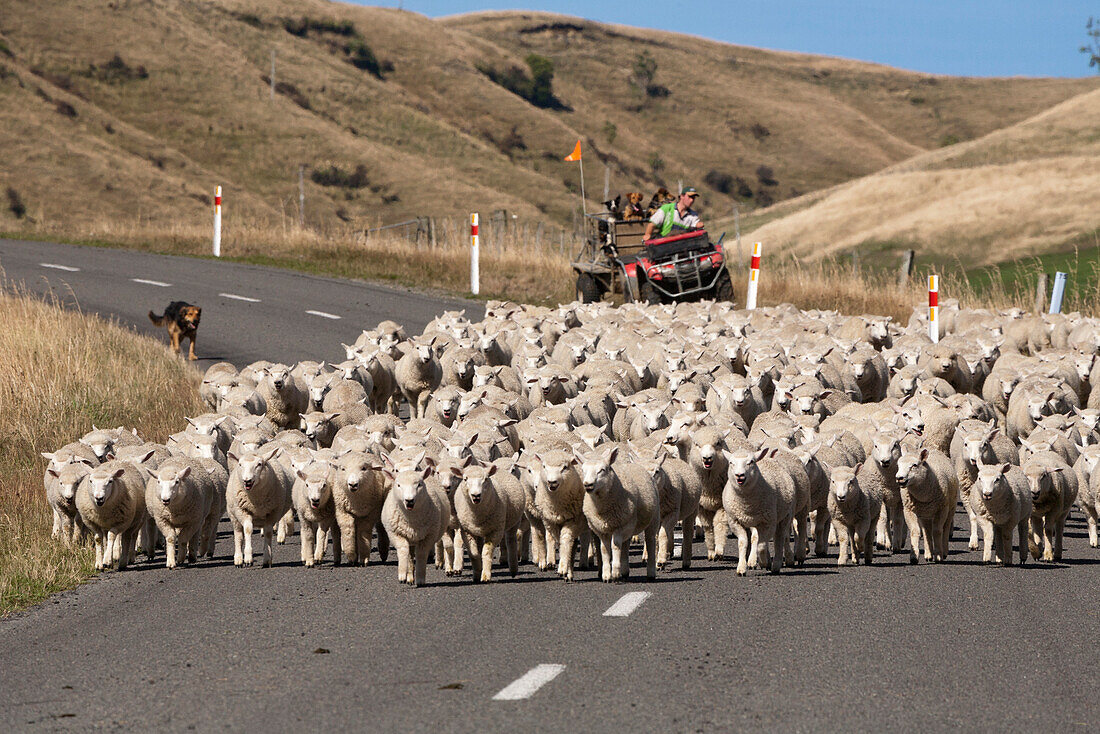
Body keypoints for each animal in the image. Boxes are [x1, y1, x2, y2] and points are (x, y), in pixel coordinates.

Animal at [576, 444, 660, 581]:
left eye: (602, 470)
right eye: (583, 470)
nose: (588, 484)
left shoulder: (619, 527)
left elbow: (615, 546)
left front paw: (614, 573)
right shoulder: (602, 530)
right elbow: (604, 550)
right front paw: (606, 575)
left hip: (652, 519)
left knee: (650, 541)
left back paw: (651, 572)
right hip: (629, 523)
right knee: (626, 545)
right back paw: (624, 571)